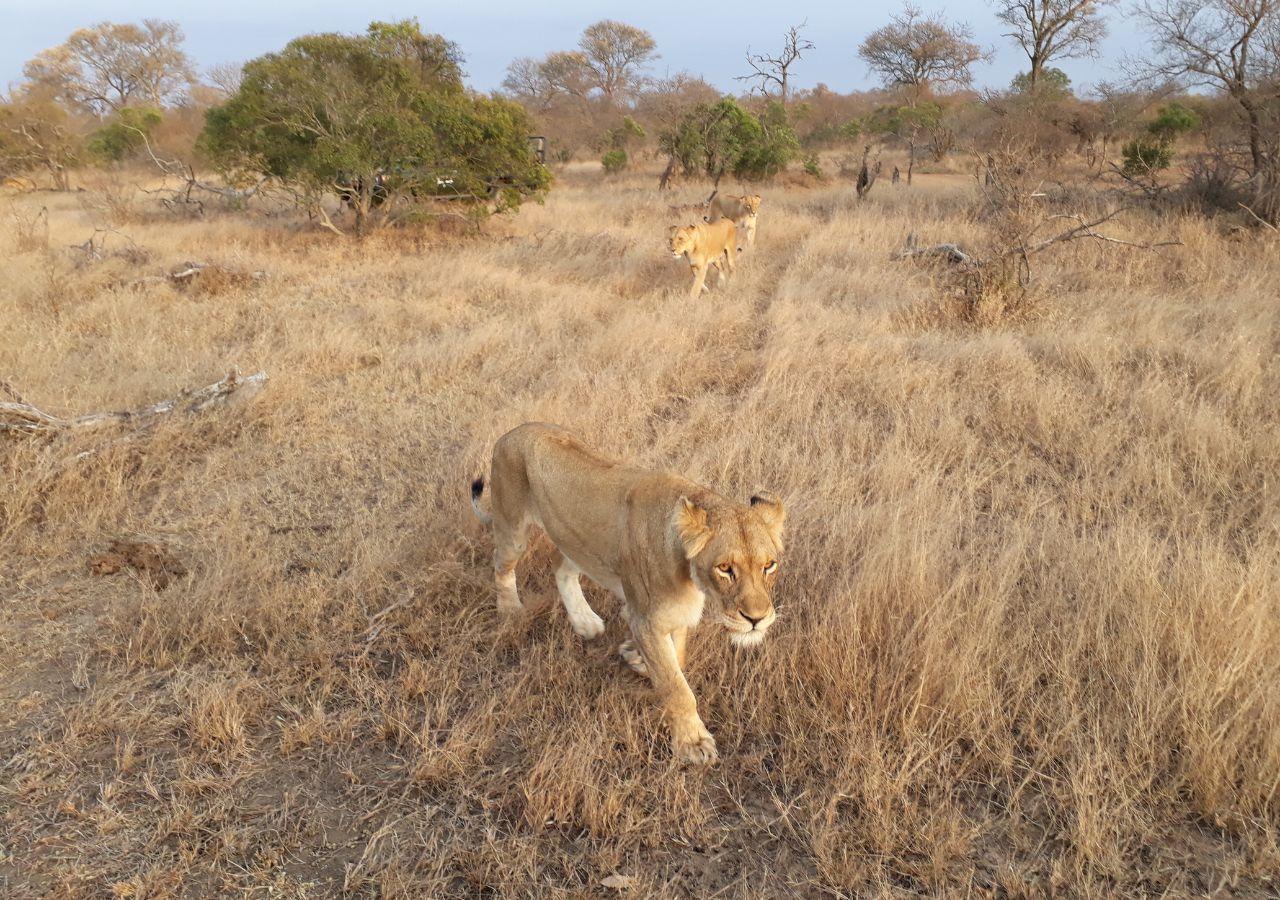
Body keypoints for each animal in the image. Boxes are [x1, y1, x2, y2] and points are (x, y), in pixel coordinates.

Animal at [470, 423, 786, 764]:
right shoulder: (646, 619)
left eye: (769, 565)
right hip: (513, 526)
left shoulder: (675, 615)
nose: (756, 620)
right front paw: (693, 743)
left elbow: (677, 658)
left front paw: (638, 658)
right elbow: (676, 687)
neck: (690, 577)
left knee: (560, 566)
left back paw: (585, 622)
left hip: (574, 539)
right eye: (725, 568)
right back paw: (511, 610)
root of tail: (512, 432)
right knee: (501, 564)